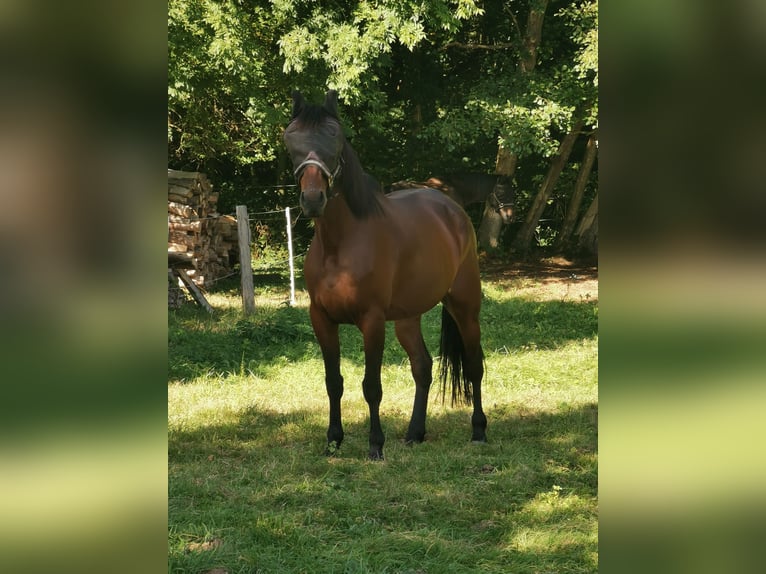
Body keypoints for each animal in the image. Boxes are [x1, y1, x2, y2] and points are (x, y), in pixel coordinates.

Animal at [282, 90, 486, 462]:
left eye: (335, 136)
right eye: (291, 139)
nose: (313, 199)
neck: (340, 245)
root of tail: (452, 209)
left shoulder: (372, 321)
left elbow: (371, 386)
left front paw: (375, 445)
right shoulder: (321, 320)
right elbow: (333, 382)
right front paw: (333, 440)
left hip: (465, 306)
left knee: (475, 365)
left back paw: (479, 430)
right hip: (407, 318)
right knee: (422, 366)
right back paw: (415, 432)